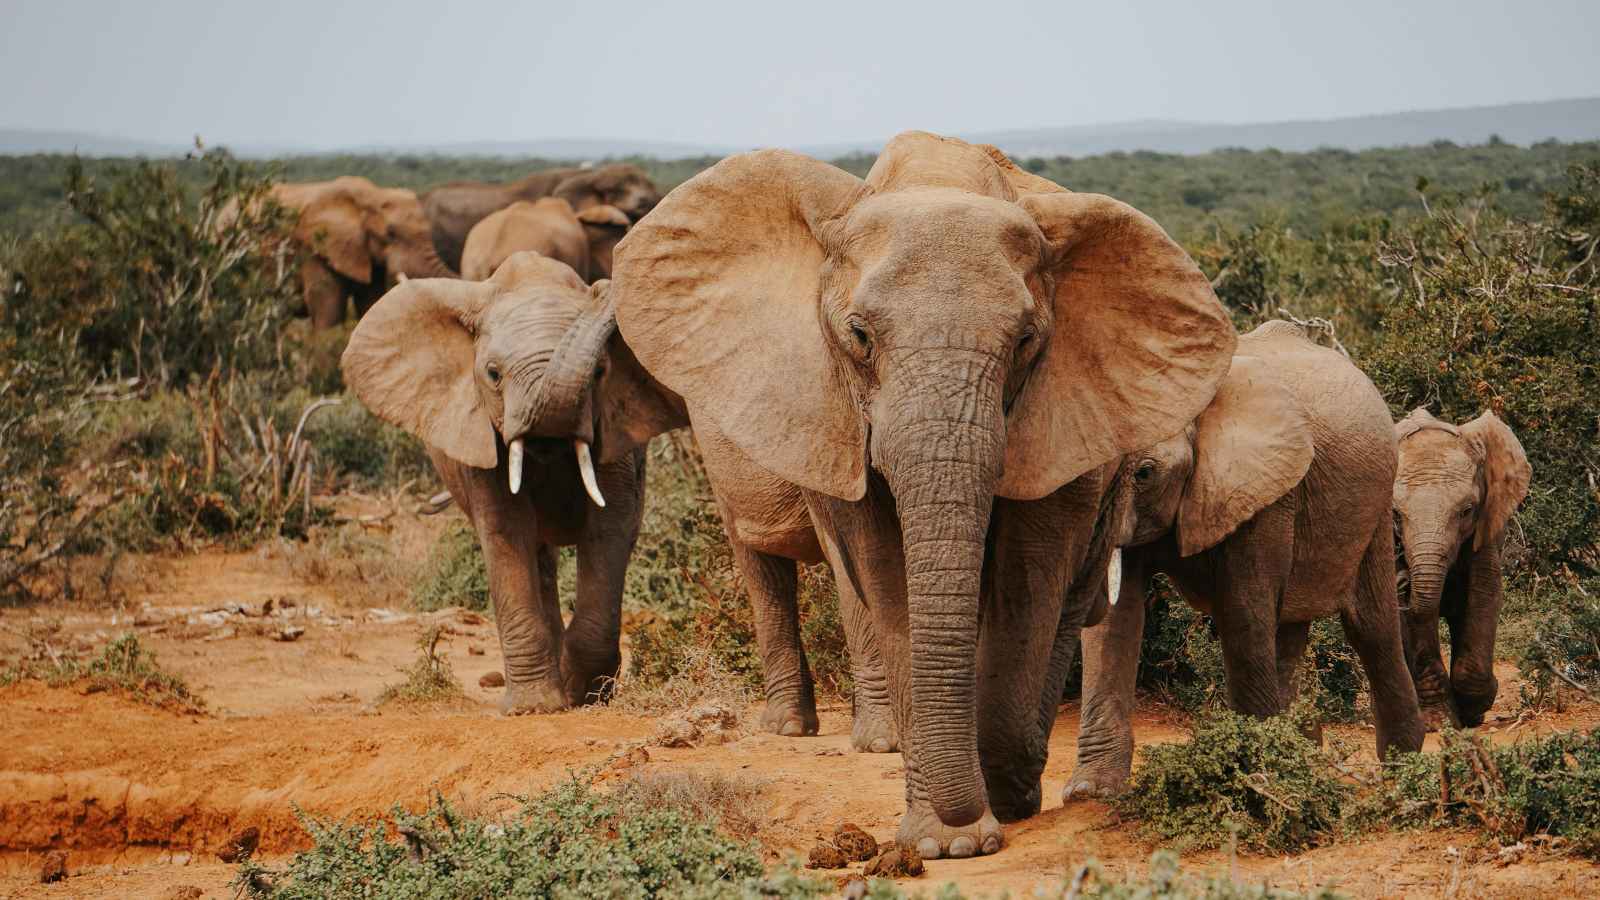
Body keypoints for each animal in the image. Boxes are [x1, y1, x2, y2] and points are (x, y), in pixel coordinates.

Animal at [341, 252, 686, 713]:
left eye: (600, 371)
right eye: (493, 374)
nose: (603, 289)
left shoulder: (614, 432)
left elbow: (610, 526)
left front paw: (583, 695)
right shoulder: (480, 436)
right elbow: (506, 531)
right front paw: (535, 707)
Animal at [607, 131, 1237, 857]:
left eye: (1026, 341)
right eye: (858, 337)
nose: (975, 822)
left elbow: (1030, 571)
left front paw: (992, 806)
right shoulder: (832, 407)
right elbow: (884, 577)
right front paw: (942, 840)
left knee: (1071, 595)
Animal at [1066, 322, 1426, 803]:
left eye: (1144, 473)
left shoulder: (1265, 491)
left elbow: (1242, 612)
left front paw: (1253, 779)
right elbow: (1114, 621)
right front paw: (1090, 792)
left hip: (1376, 504)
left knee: (1370, 626)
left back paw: (1401, 766)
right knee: (1289, 629)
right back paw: (1302, 755)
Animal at [1393, 408, 1530, 728]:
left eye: (1467, 511)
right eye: (1395, 515)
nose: (1403, 580)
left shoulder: (1488, 522)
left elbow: (1485, 593)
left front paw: (1475, 708)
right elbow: (1417, 618)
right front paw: (1438, 721)